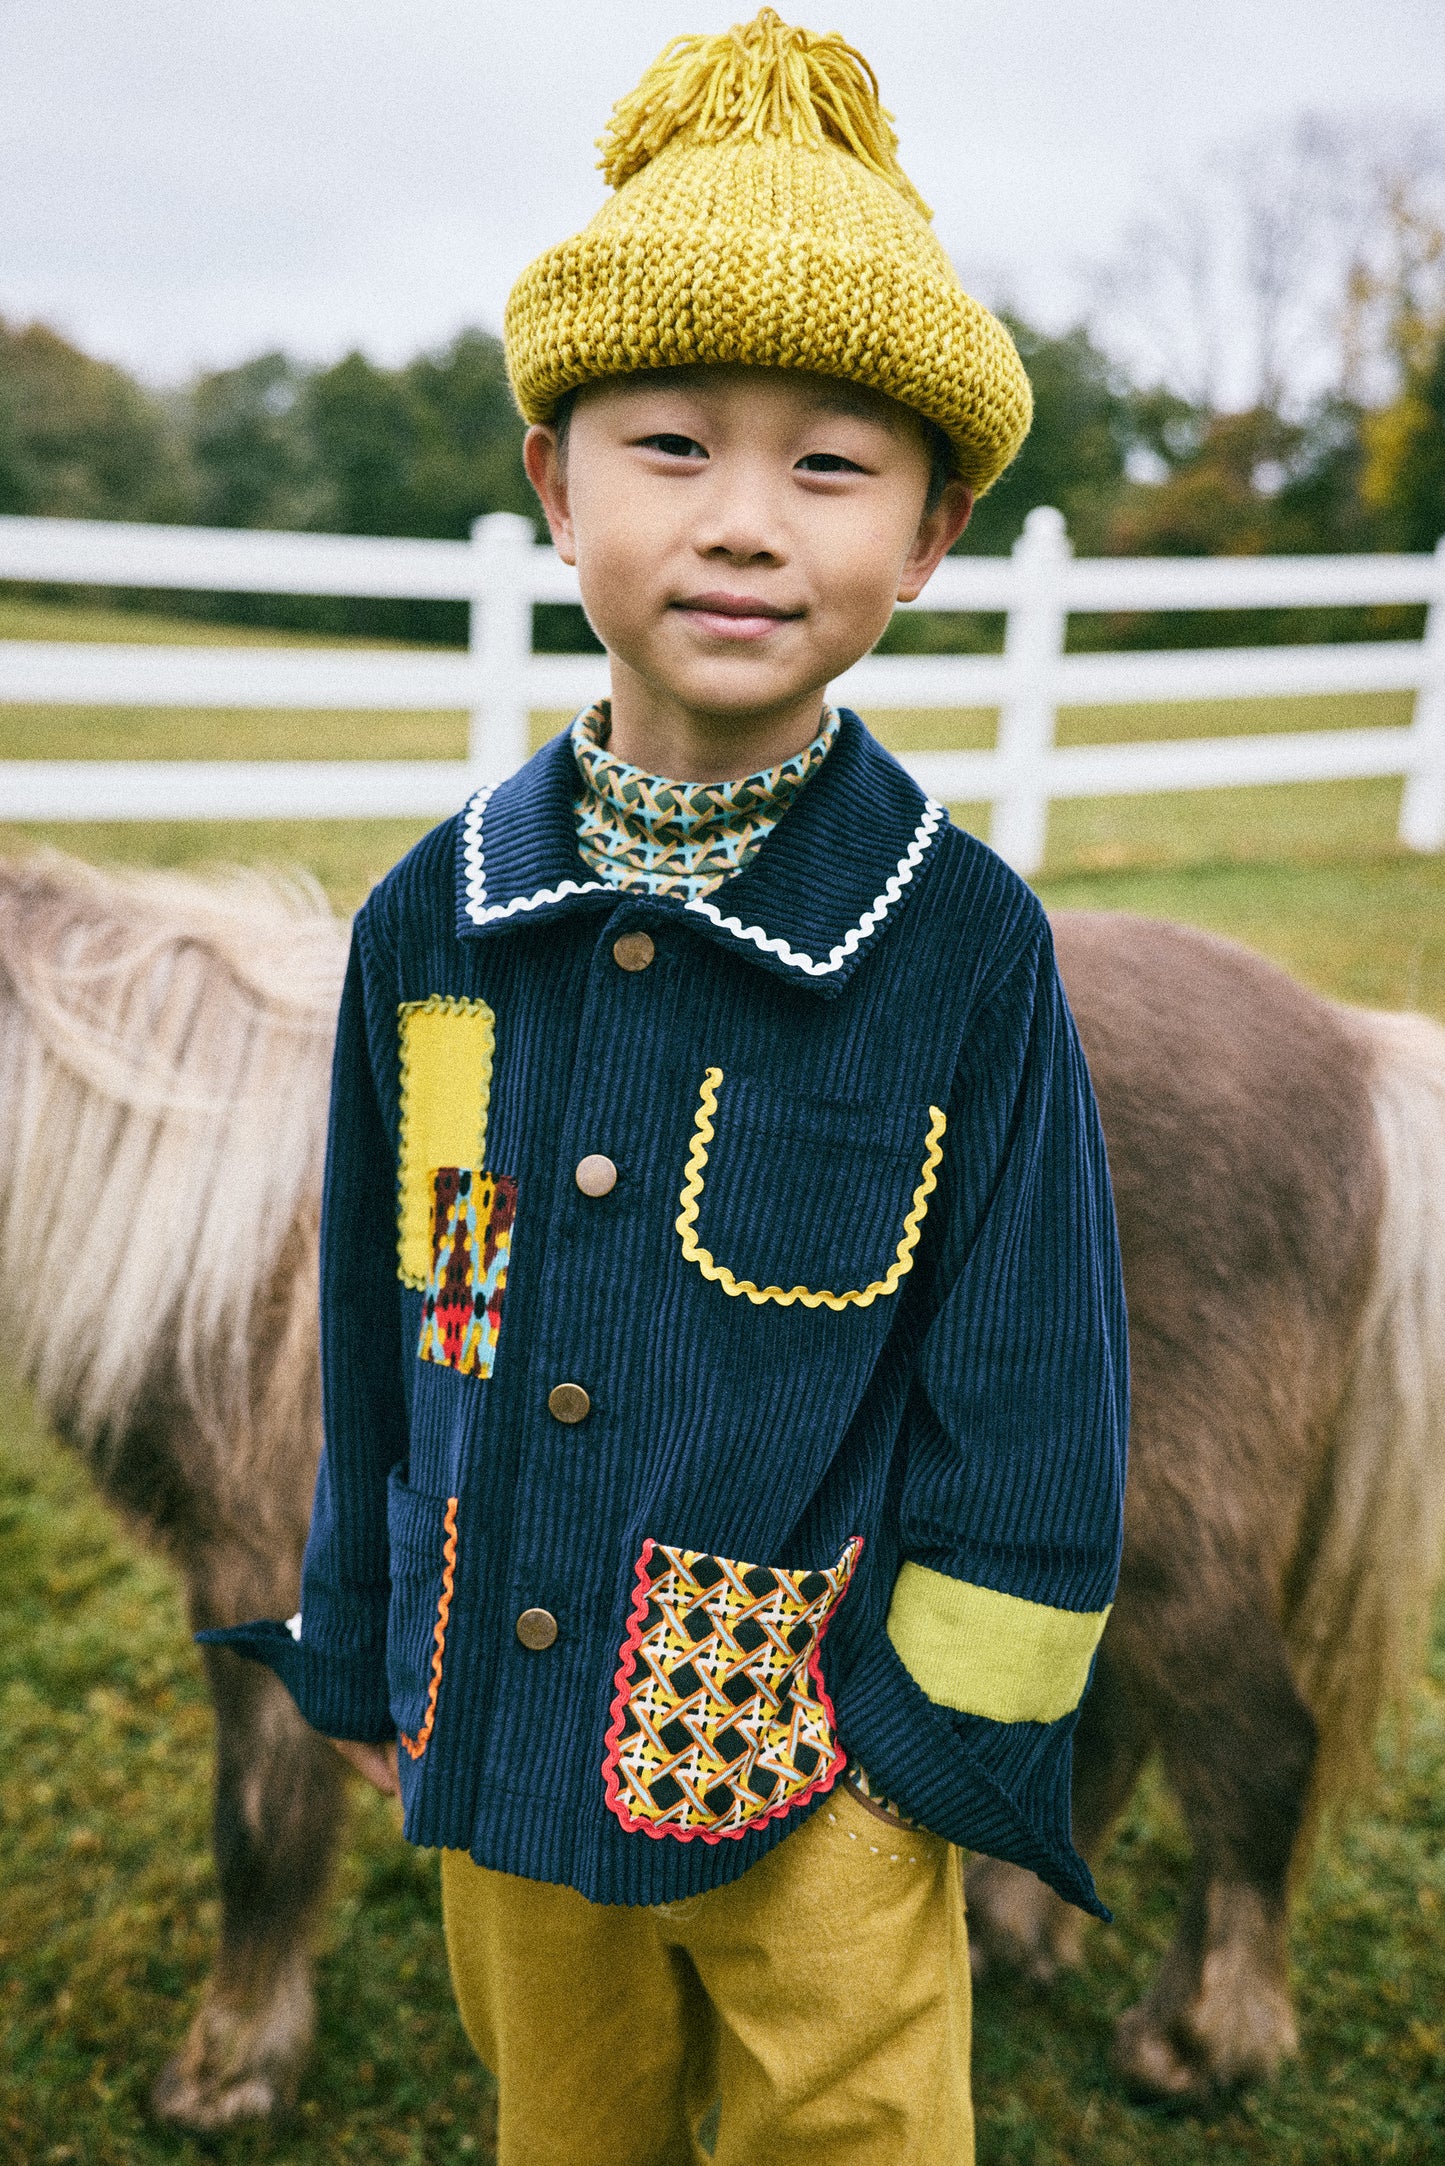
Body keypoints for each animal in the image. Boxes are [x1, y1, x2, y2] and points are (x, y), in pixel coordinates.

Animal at [2, 853, 1445, 2122]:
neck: (217, 1243)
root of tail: (1351, 1046)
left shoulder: (265, 1578)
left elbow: (256, 1836)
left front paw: (229, 2070)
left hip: (1171, 1541)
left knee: (1255, 1754)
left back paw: (1201, 2044)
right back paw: (1015, 1930)